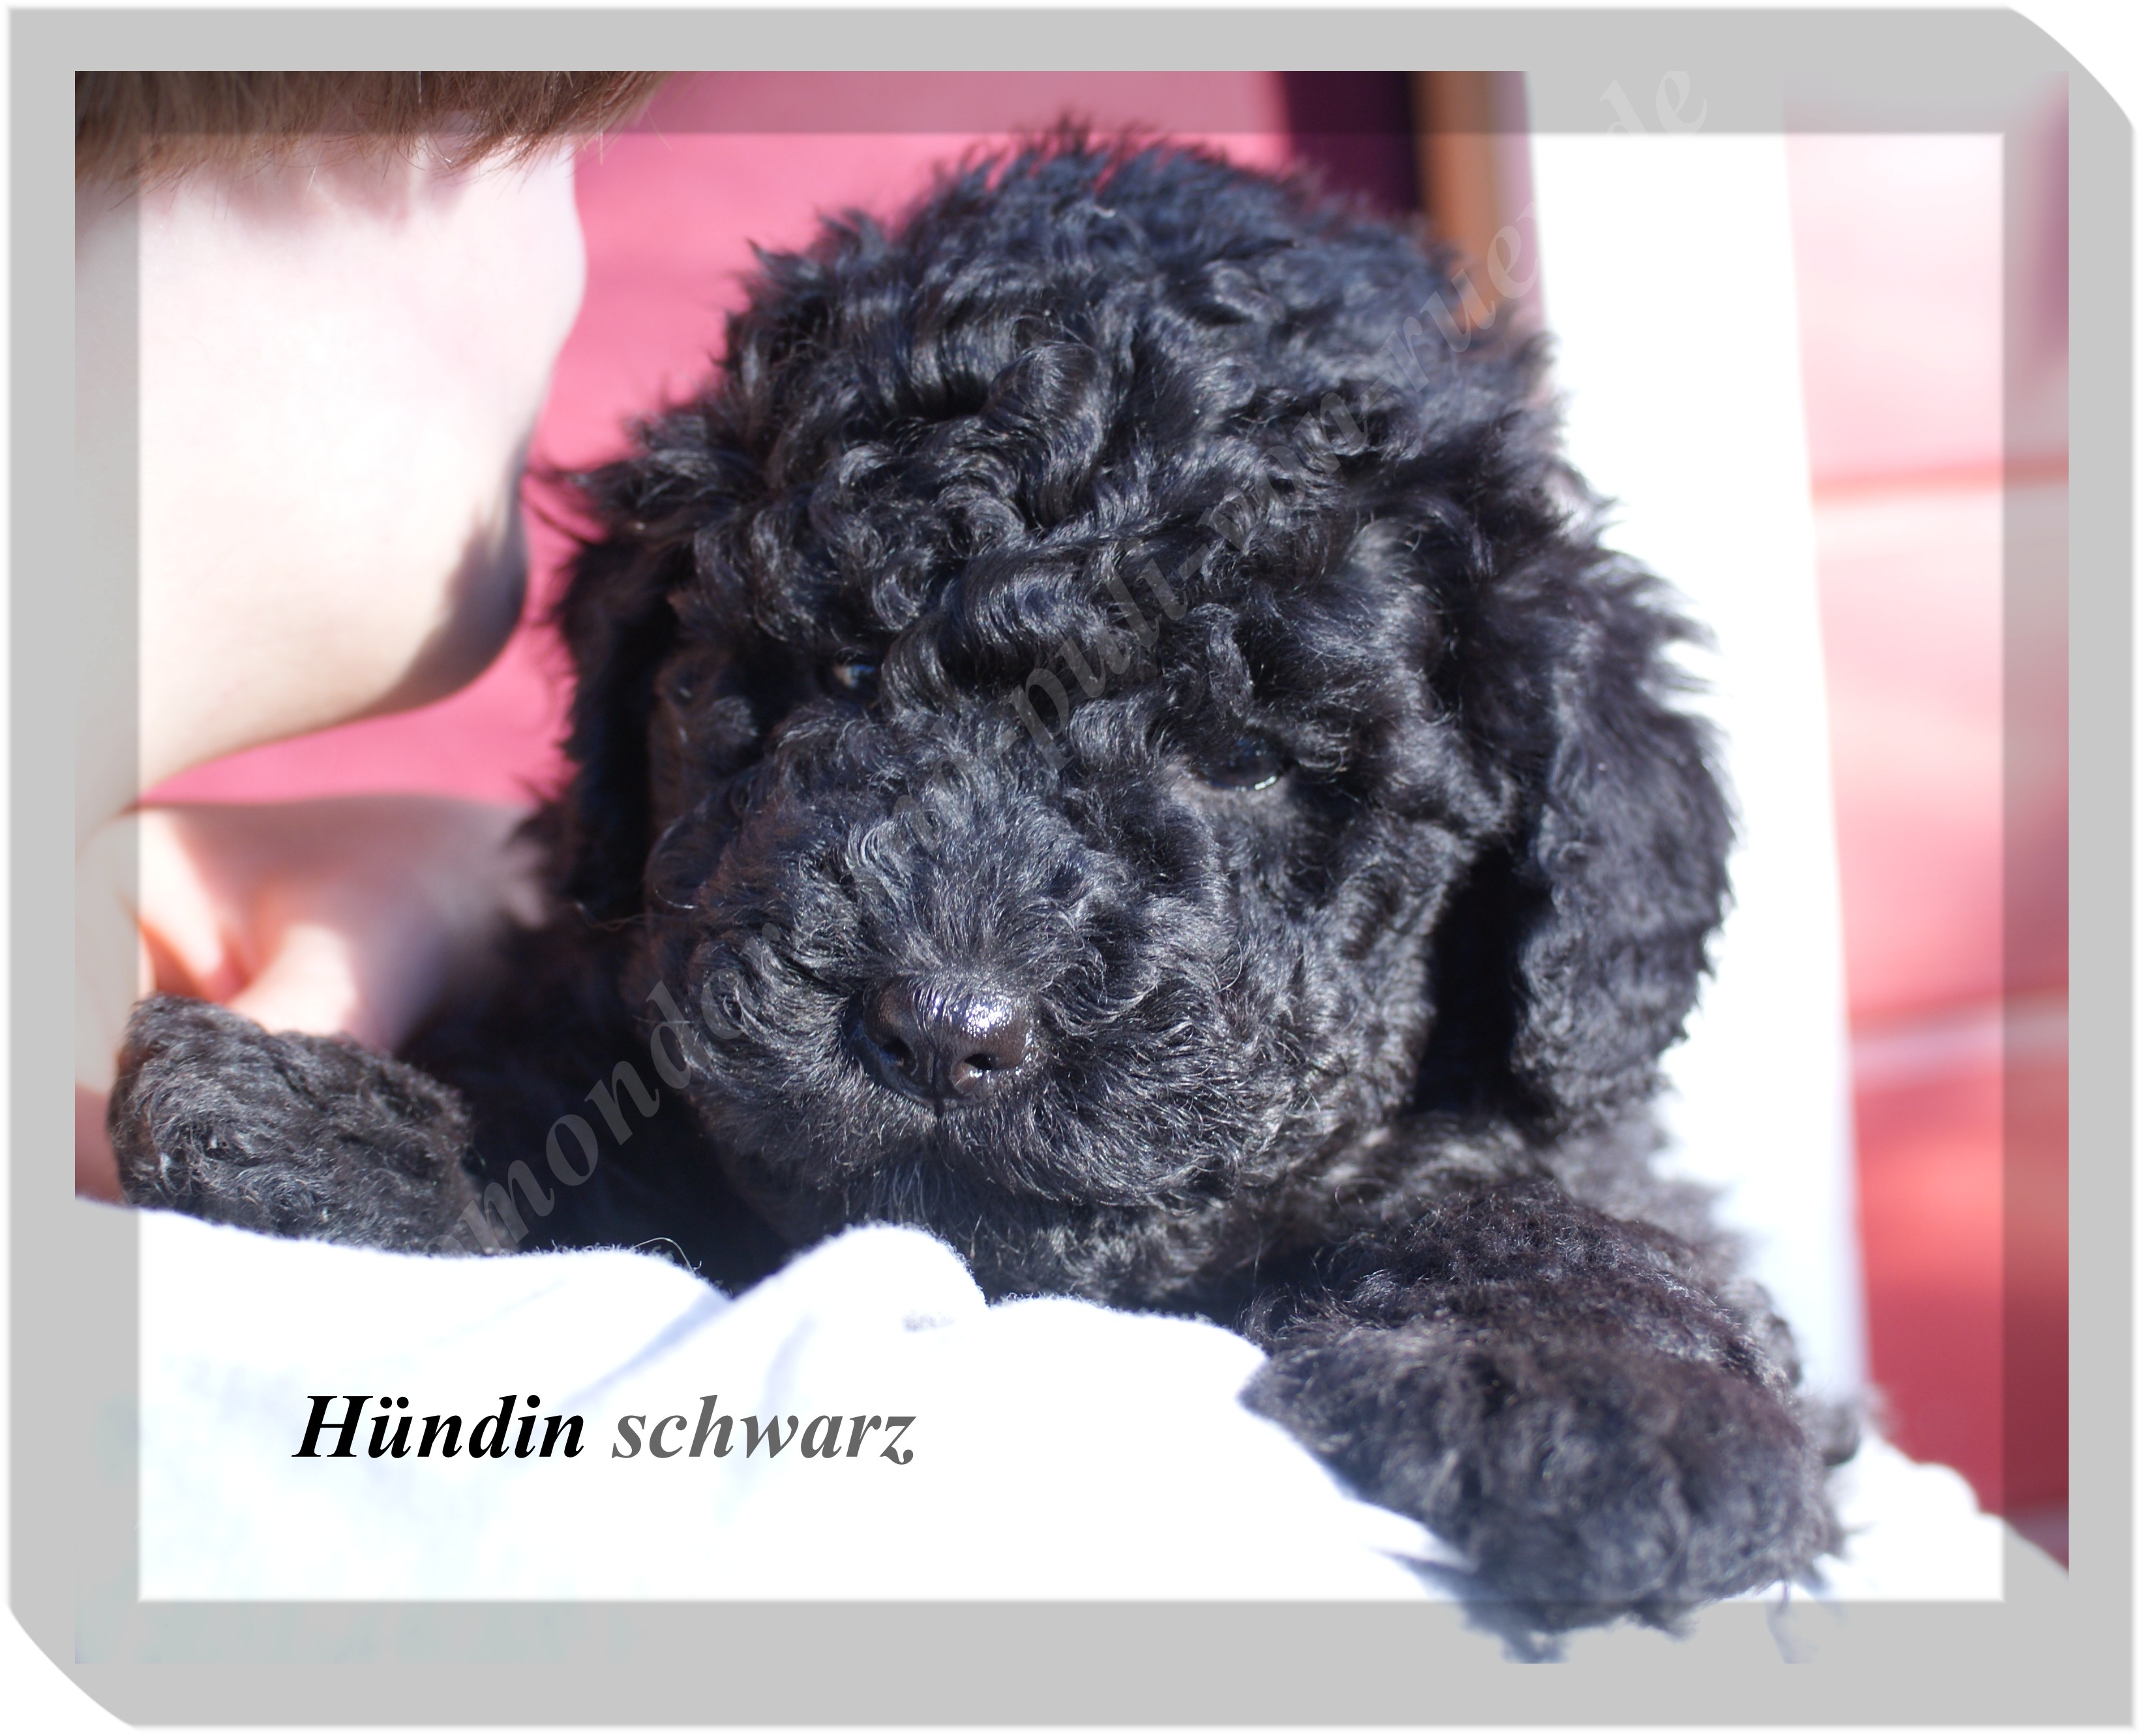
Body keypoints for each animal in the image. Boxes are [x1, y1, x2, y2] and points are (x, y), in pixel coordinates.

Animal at [112, 136, 1850, 1628]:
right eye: (825, 679)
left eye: (1244, 752)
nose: (945, 1029)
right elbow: (603, 1100)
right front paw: (349, 1127)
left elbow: (1535, 1198)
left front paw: (1600, 1387)